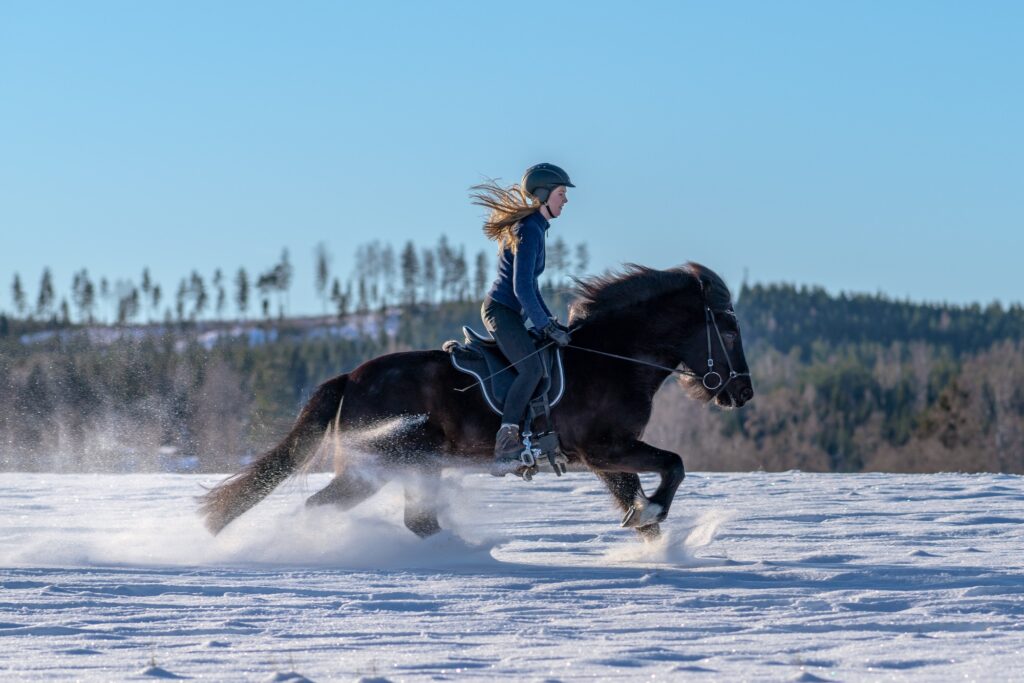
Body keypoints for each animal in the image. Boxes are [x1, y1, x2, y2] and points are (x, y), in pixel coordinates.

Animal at [199, 264, 757, 540]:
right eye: (729, 330)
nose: (742, 392)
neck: (612, 358)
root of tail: (351, 379)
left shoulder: (603, 458)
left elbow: (639, 500)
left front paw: (654, 543)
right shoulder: (606, 447)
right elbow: (674, 466)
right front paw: (654, 513)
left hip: (414, 465)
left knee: (416, 521)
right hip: (378, 466)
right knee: (325, 508)